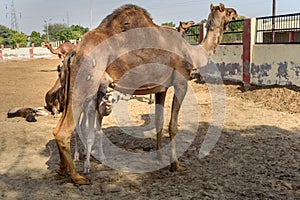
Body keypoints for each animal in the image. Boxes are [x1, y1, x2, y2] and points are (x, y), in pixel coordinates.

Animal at [52, 3, 238, 184]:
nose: (236, 13)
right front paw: (175, 164)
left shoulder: (161, 88)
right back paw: (77, 177)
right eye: (228, 11)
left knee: (60, 127)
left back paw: (62, 169)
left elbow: (159, 121)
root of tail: (73, 53)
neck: (191, 52)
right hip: (85, 83)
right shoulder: (181, 82)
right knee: (64, 130)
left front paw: (160, 156)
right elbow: (172, 125)